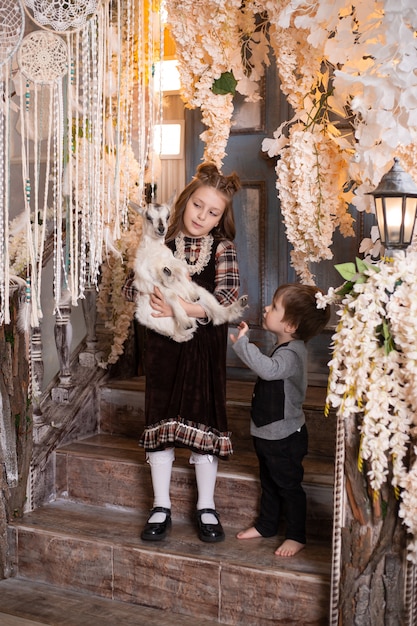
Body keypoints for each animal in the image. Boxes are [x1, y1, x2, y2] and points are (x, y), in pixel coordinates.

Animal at [130, 199, 247, 342]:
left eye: (168, 216)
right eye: (148, 217)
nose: (161, 229)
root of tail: (180, 335)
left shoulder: (178, 270)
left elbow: (182, 278)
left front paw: (189, 293)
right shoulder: (150, 283)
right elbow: (171, 294)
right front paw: (184, 320)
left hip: (203, 293)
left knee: (218, 313)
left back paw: (240, 304)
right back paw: (187, 323)